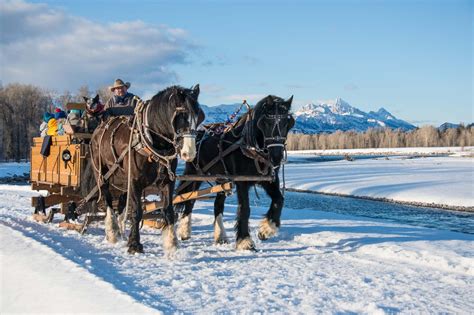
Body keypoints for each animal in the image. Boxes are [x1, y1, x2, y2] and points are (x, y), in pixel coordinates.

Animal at [90, 85, 204, 256]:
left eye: (199, 116)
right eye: (181, 115)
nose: (188, 153)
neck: (153, 142)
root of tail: (98, 129)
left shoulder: (167, 181)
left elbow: (168, 211)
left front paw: (172, 243)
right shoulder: (135, 182)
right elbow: (136, 212)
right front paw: (134, 245)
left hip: (123, 179)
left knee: (122, 203)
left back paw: (121, 231)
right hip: (102, 173)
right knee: (107, 199)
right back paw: (112, 231)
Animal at [176, 95, 294, 251]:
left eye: (288, 123)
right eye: (266, 123)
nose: (276, 157)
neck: (250, 147)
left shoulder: (269, 180)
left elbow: (279, 200)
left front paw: (266, 230)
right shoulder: (242, 182)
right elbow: (245, 208)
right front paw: (245, 241)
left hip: (221, 180)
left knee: (217, 205)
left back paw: (220, 236)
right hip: (194, 174)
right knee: (189, 199)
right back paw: (184, 231)